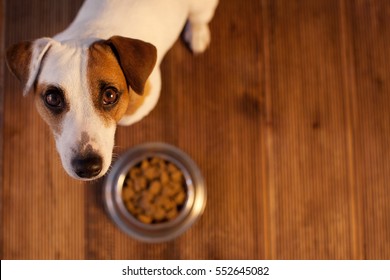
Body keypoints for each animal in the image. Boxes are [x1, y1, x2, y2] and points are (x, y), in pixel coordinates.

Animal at [4, 0, 219, 180]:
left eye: (110, 95)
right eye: (53, 98)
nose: (87, 167)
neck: (87, 33)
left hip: (201, 7)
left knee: (199, 18)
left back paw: (198, 34)